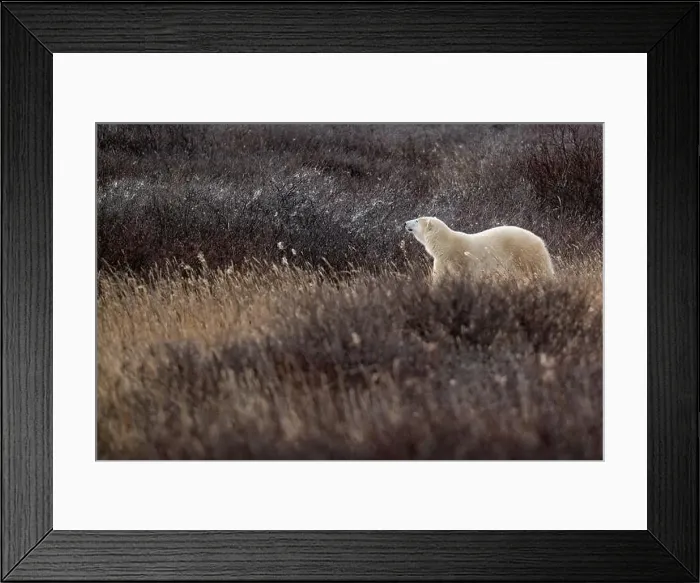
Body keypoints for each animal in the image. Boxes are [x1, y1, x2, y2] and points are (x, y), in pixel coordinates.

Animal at [404, 216, 554, 284]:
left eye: (417, 220)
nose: (405, 223)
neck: (445, 246)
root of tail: (540, 241)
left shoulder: (459, 260)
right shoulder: (441, 261)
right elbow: (440, 278)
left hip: (524, 255)